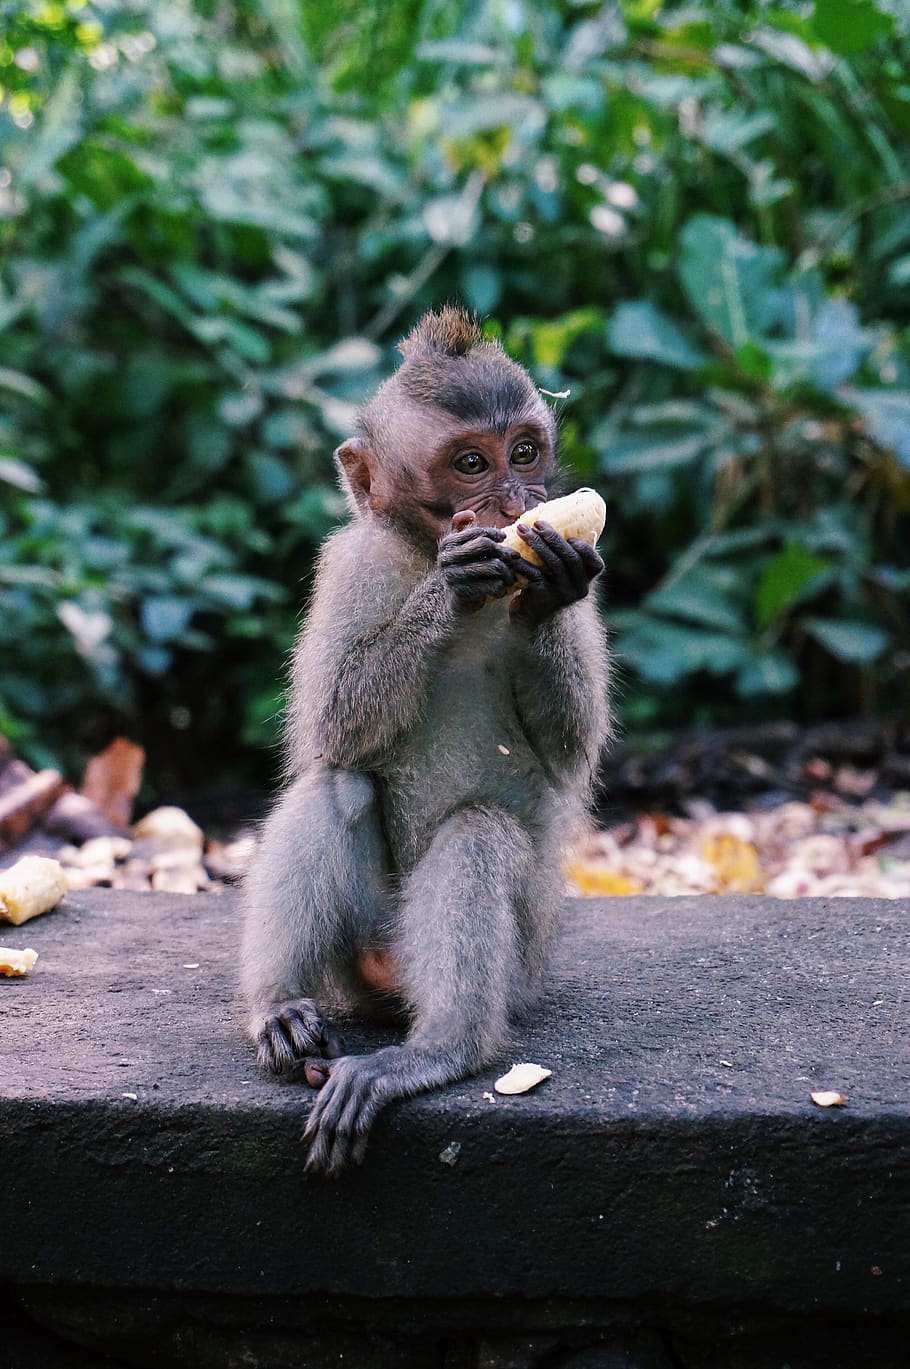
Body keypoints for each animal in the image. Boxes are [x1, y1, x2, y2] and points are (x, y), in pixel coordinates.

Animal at [240, 306, 611, 1174]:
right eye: (471, 463)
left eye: (524, 451)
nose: (516, 498)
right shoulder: (352, 561)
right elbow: (330, 729)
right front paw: (448, 587)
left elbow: (571, 748)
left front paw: (546, 591)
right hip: (356, 958)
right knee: (336, 785)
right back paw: (280, 1007)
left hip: (523, 959)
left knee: (477, 831)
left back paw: (439, 1049)